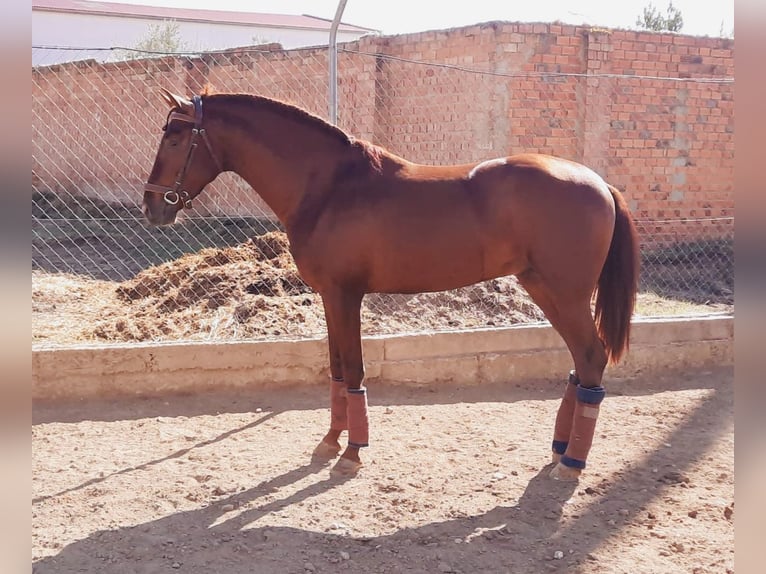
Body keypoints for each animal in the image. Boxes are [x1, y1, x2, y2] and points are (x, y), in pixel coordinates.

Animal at [141, 88, 640, 484]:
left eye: (174, 137)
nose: (151, 206)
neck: (329, 187)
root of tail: (600, 183)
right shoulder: (330, 298)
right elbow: (336, 369)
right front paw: (331, 442)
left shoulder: (345, 295)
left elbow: (354, 372)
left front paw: (352, 453)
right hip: (546, 291)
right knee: (581, 364)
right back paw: (560, 451)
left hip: (564, 295)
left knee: (591, 358)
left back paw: (572, 462)